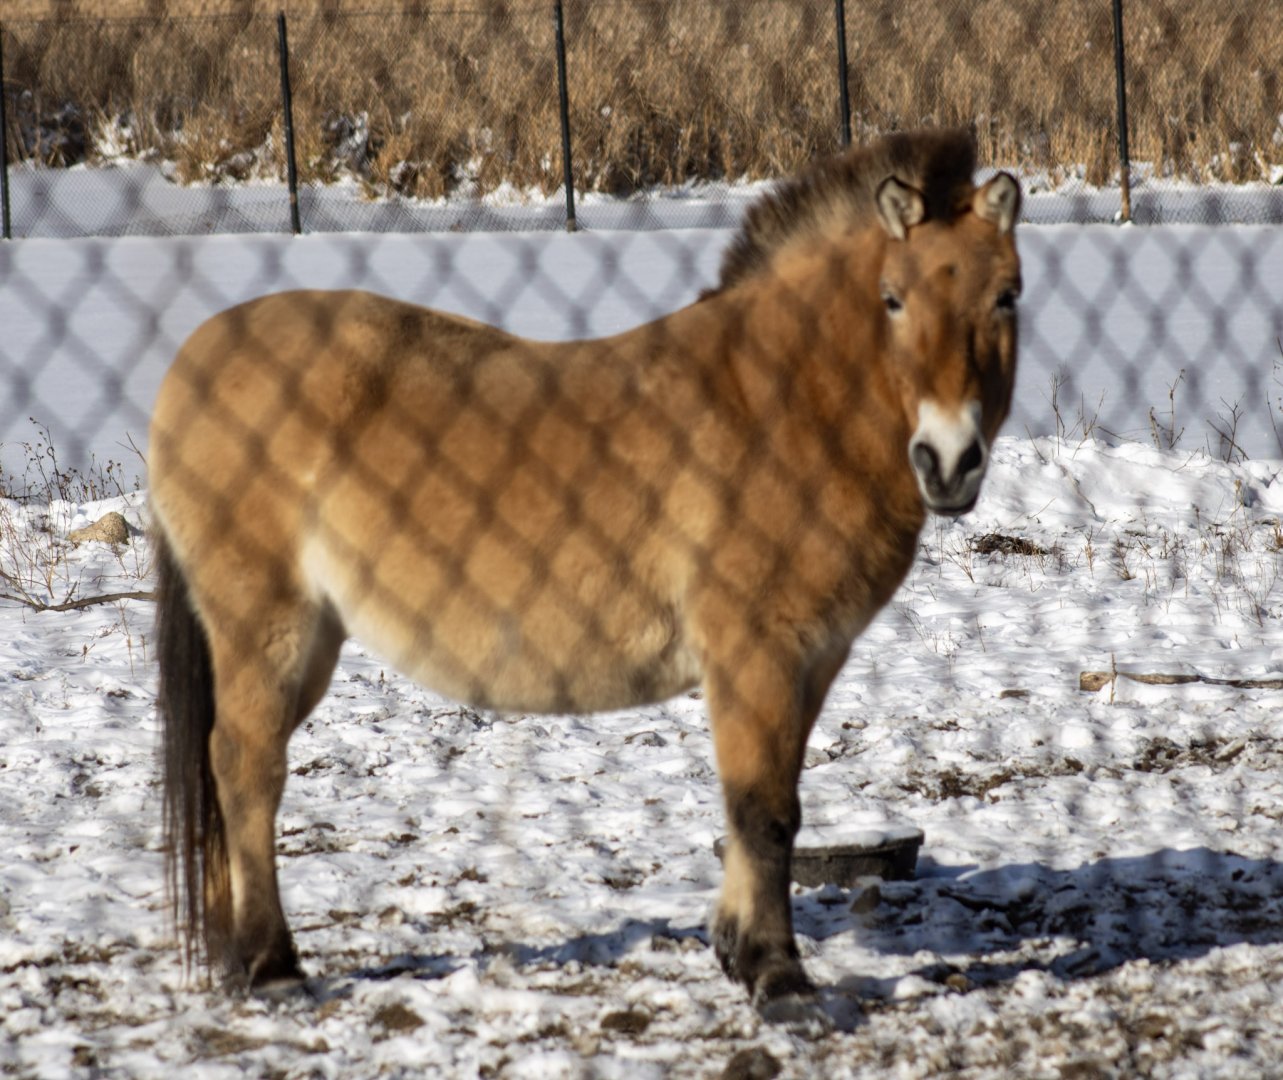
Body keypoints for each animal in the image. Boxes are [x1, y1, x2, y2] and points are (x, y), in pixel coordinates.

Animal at [151, 127, 1021, 1008]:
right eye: (891, 298)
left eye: (1006, 297)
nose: (949, 461)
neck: (782, 403)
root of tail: (194, 359)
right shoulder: (757, 655)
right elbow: (763, 811)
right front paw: (776, 975)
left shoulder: (811, 661)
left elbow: (758, 808)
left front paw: (735, 949)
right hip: (268, 631)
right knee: (246, 768)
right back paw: (271, 963)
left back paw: (234, 955)